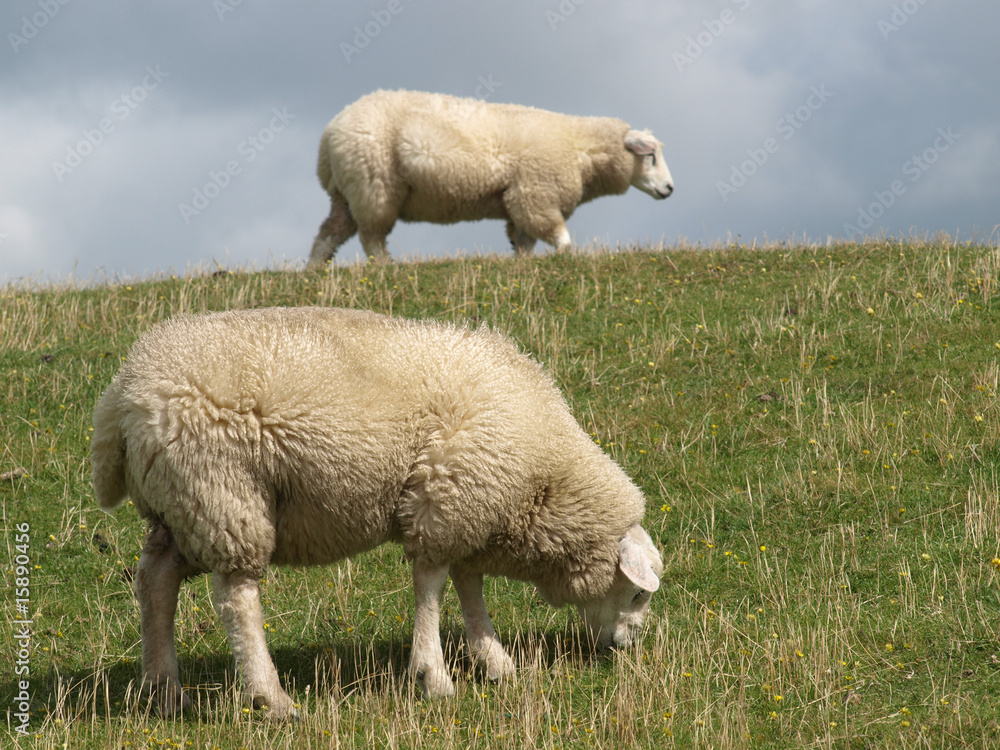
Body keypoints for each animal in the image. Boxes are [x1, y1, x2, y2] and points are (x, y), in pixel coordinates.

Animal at [91, 307, 663, 720]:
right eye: (637, 592)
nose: (628, 646)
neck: (546, 480)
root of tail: (120, 399)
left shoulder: (471, 510)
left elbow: (469, 584)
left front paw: (494, 660)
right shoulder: (446, 496)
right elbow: (434, 585)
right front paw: (434, 675)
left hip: (182, 506)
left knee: (156, 580)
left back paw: (165, 691)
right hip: (224, 493)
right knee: (236, 598)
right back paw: (270, 699)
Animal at [308, 89, 674, 264]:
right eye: (650, 156)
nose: (670, 188)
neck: (579, 146)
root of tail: (329, 134)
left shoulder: (518, 201)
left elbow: (523, 242)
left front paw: (523, 264)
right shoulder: (535, 194)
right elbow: (561, 238)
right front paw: (565, 257)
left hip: (348, 191)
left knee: (330, 232)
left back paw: (314, 270)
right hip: (374, 185)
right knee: (372, 239)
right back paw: (387, 267)